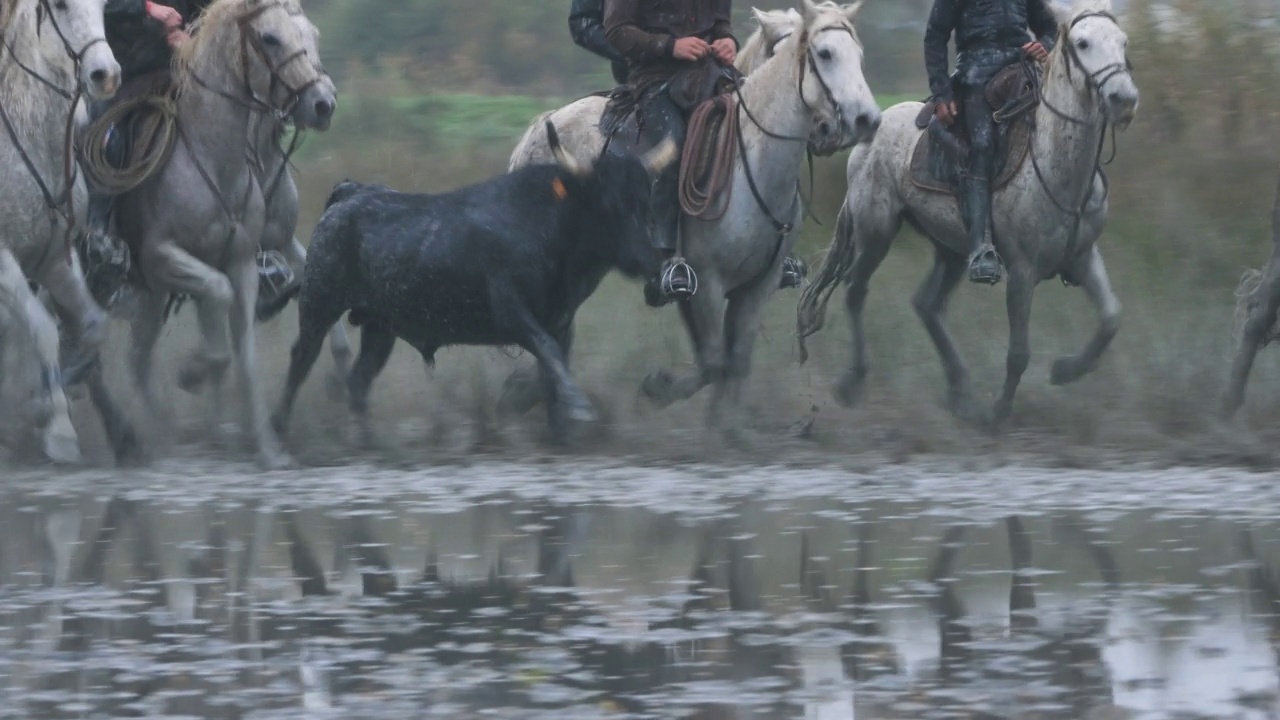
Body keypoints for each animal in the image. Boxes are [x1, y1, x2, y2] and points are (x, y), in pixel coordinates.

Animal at [272, 120, 680, 440]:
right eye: (606, 201)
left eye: (646, 201)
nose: (646, 259)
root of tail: (351, 194)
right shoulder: (513, 315)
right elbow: (549, 355)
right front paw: (579, 408)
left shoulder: (561, 323)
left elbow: (553, 373)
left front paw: (560, 428)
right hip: (319, 306)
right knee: (300, 361)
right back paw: (278, 431)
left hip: (379, 328)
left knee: (358, 381)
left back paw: (369, 441)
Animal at [798, 0, 1141, 422]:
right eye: (1083, 43)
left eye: (1122, 41)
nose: (1124, 99)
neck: (1056, 162)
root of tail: (874, 125)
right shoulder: (1022, 272)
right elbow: (1019, 353)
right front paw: (997, 415)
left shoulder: (1084, 256)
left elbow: (1111, 318)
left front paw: (1066, 370)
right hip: (876, 232)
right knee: (855, 292)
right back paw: (854, 381)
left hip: (951, 250)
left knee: (927, 305)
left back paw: (959, 389)